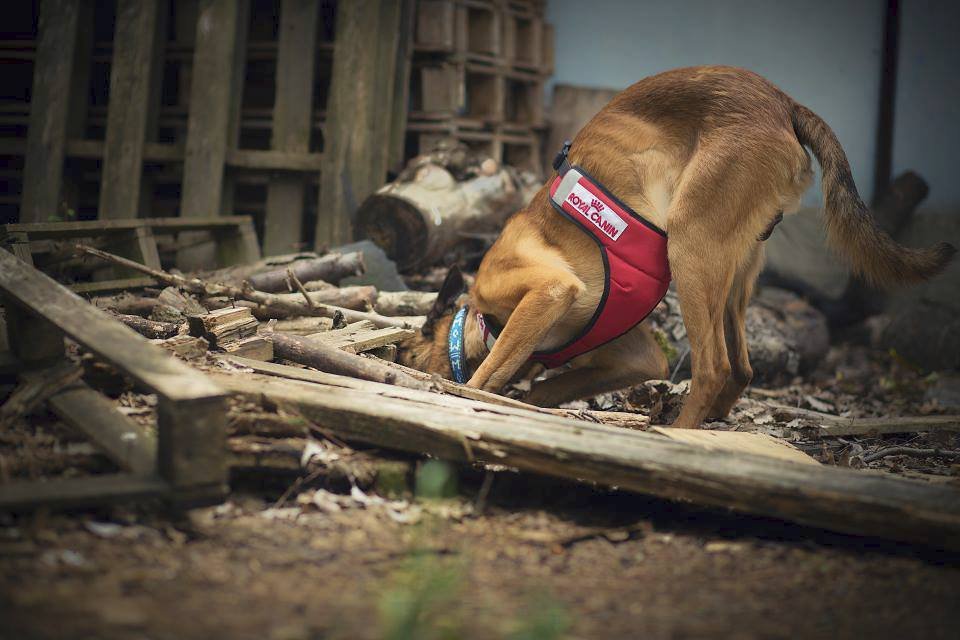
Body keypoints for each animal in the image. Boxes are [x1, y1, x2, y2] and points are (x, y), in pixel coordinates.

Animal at [396, 65, 952, 428]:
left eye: (403, 349)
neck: (481, 320)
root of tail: (783, 101)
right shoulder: (640, 359)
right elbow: (548, 382)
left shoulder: (548, 290)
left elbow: (486, 373)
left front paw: (468, 393)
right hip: (734, 272)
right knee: (742, 368)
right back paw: (715, 423)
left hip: (690, 247)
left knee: (714, 368)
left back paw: (681, 434)